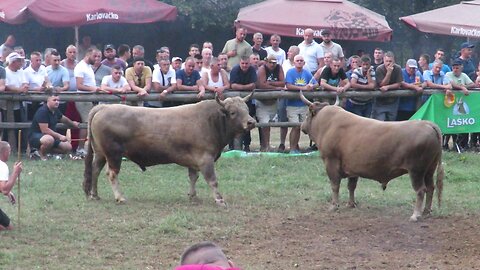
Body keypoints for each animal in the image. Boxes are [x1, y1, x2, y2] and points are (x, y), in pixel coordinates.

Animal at [83, 94, 255, 205]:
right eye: (233, 112)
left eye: (247, 109)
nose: (251, 122)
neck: (211, 120)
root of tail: (104, 107)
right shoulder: (205, 159)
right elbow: (212, 180)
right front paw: (219, 199)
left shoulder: (194, 160)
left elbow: (193, 177)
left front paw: (193, 196)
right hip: (113, 154)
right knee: (111, 174)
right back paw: (119, 197)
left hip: (100, 153)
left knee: (95, 170)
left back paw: (94, 195)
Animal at [300, 93, 442, 221]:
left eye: (306, 114)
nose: (302, 126)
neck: (328, 124)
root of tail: (428, 124)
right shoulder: (352, 168)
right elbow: (351, 186)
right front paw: (351, 204)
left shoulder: (331, 162)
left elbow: (335, 185)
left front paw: (334, 206)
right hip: (429, 170)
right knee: (431, 188)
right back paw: (426, 211)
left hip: (416, 171)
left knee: (421, 190)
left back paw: (416, 215)